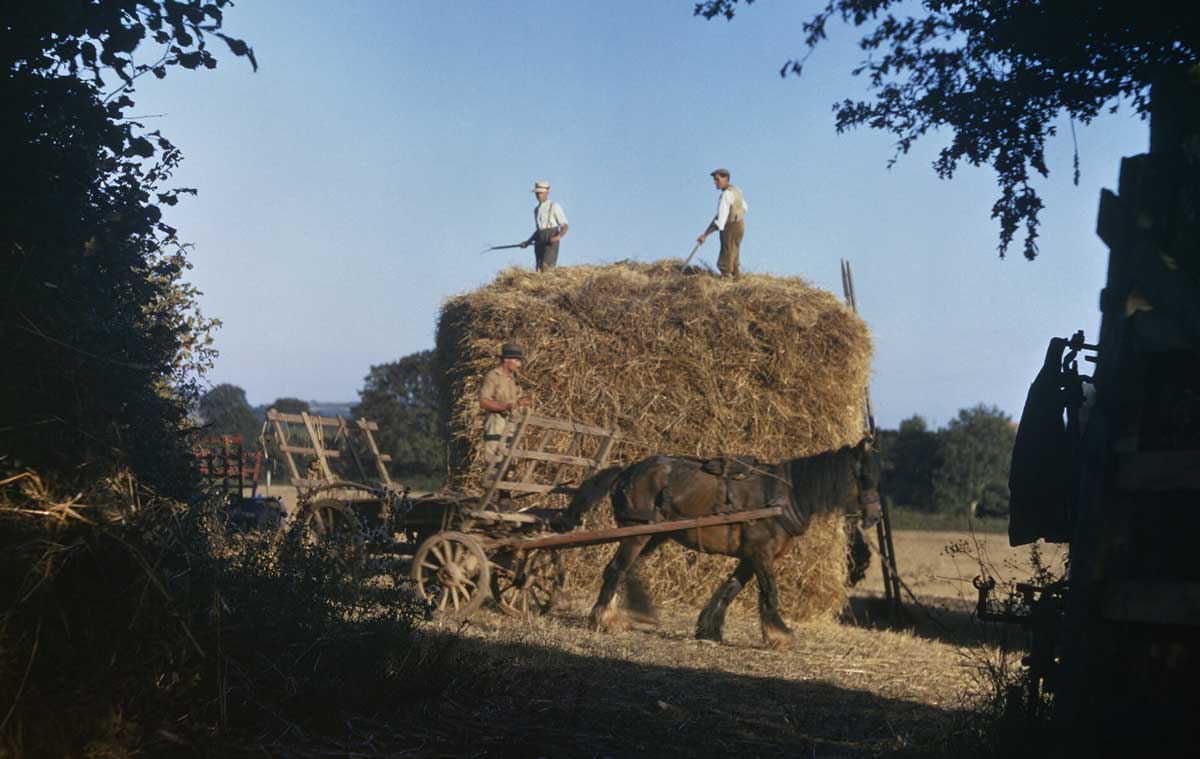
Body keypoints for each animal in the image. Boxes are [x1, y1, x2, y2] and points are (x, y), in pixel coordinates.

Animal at [561, 439, 883, 648]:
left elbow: (730, 589)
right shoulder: (761, 554)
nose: (876, 515)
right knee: (616, 569)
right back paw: (604, 618)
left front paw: (709, 628)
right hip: (637, 533)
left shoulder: (750, 557)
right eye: (865, 477)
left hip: (655, 534)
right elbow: (770, 593)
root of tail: (627, 470)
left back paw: (632, 611)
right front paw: (780, 635)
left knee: (629, 569)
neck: (782, 498)